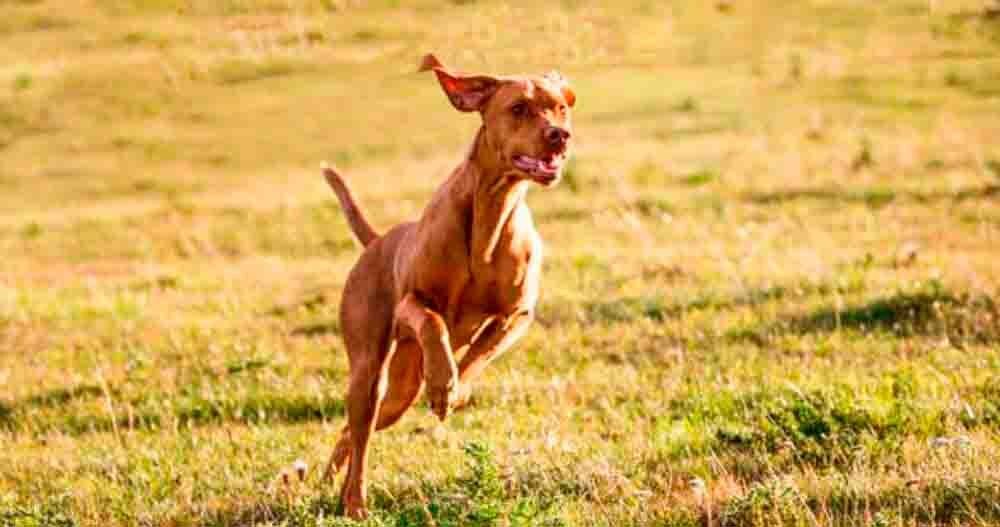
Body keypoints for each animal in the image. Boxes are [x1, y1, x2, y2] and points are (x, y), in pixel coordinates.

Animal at [316, 53, 576, 520]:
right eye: (519, 108)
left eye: (561, 108)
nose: (559, 136)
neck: (492, 210)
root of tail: (377, 241)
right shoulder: (411, 303)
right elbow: (434, 321)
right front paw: (443, 383)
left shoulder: (517, 315)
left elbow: (480, 353)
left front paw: (454, 390)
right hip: (368, 373)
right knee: (359, 434)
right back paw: (352, 500)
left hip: (399, 393)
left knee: (353, 432)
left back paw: (334, 487)